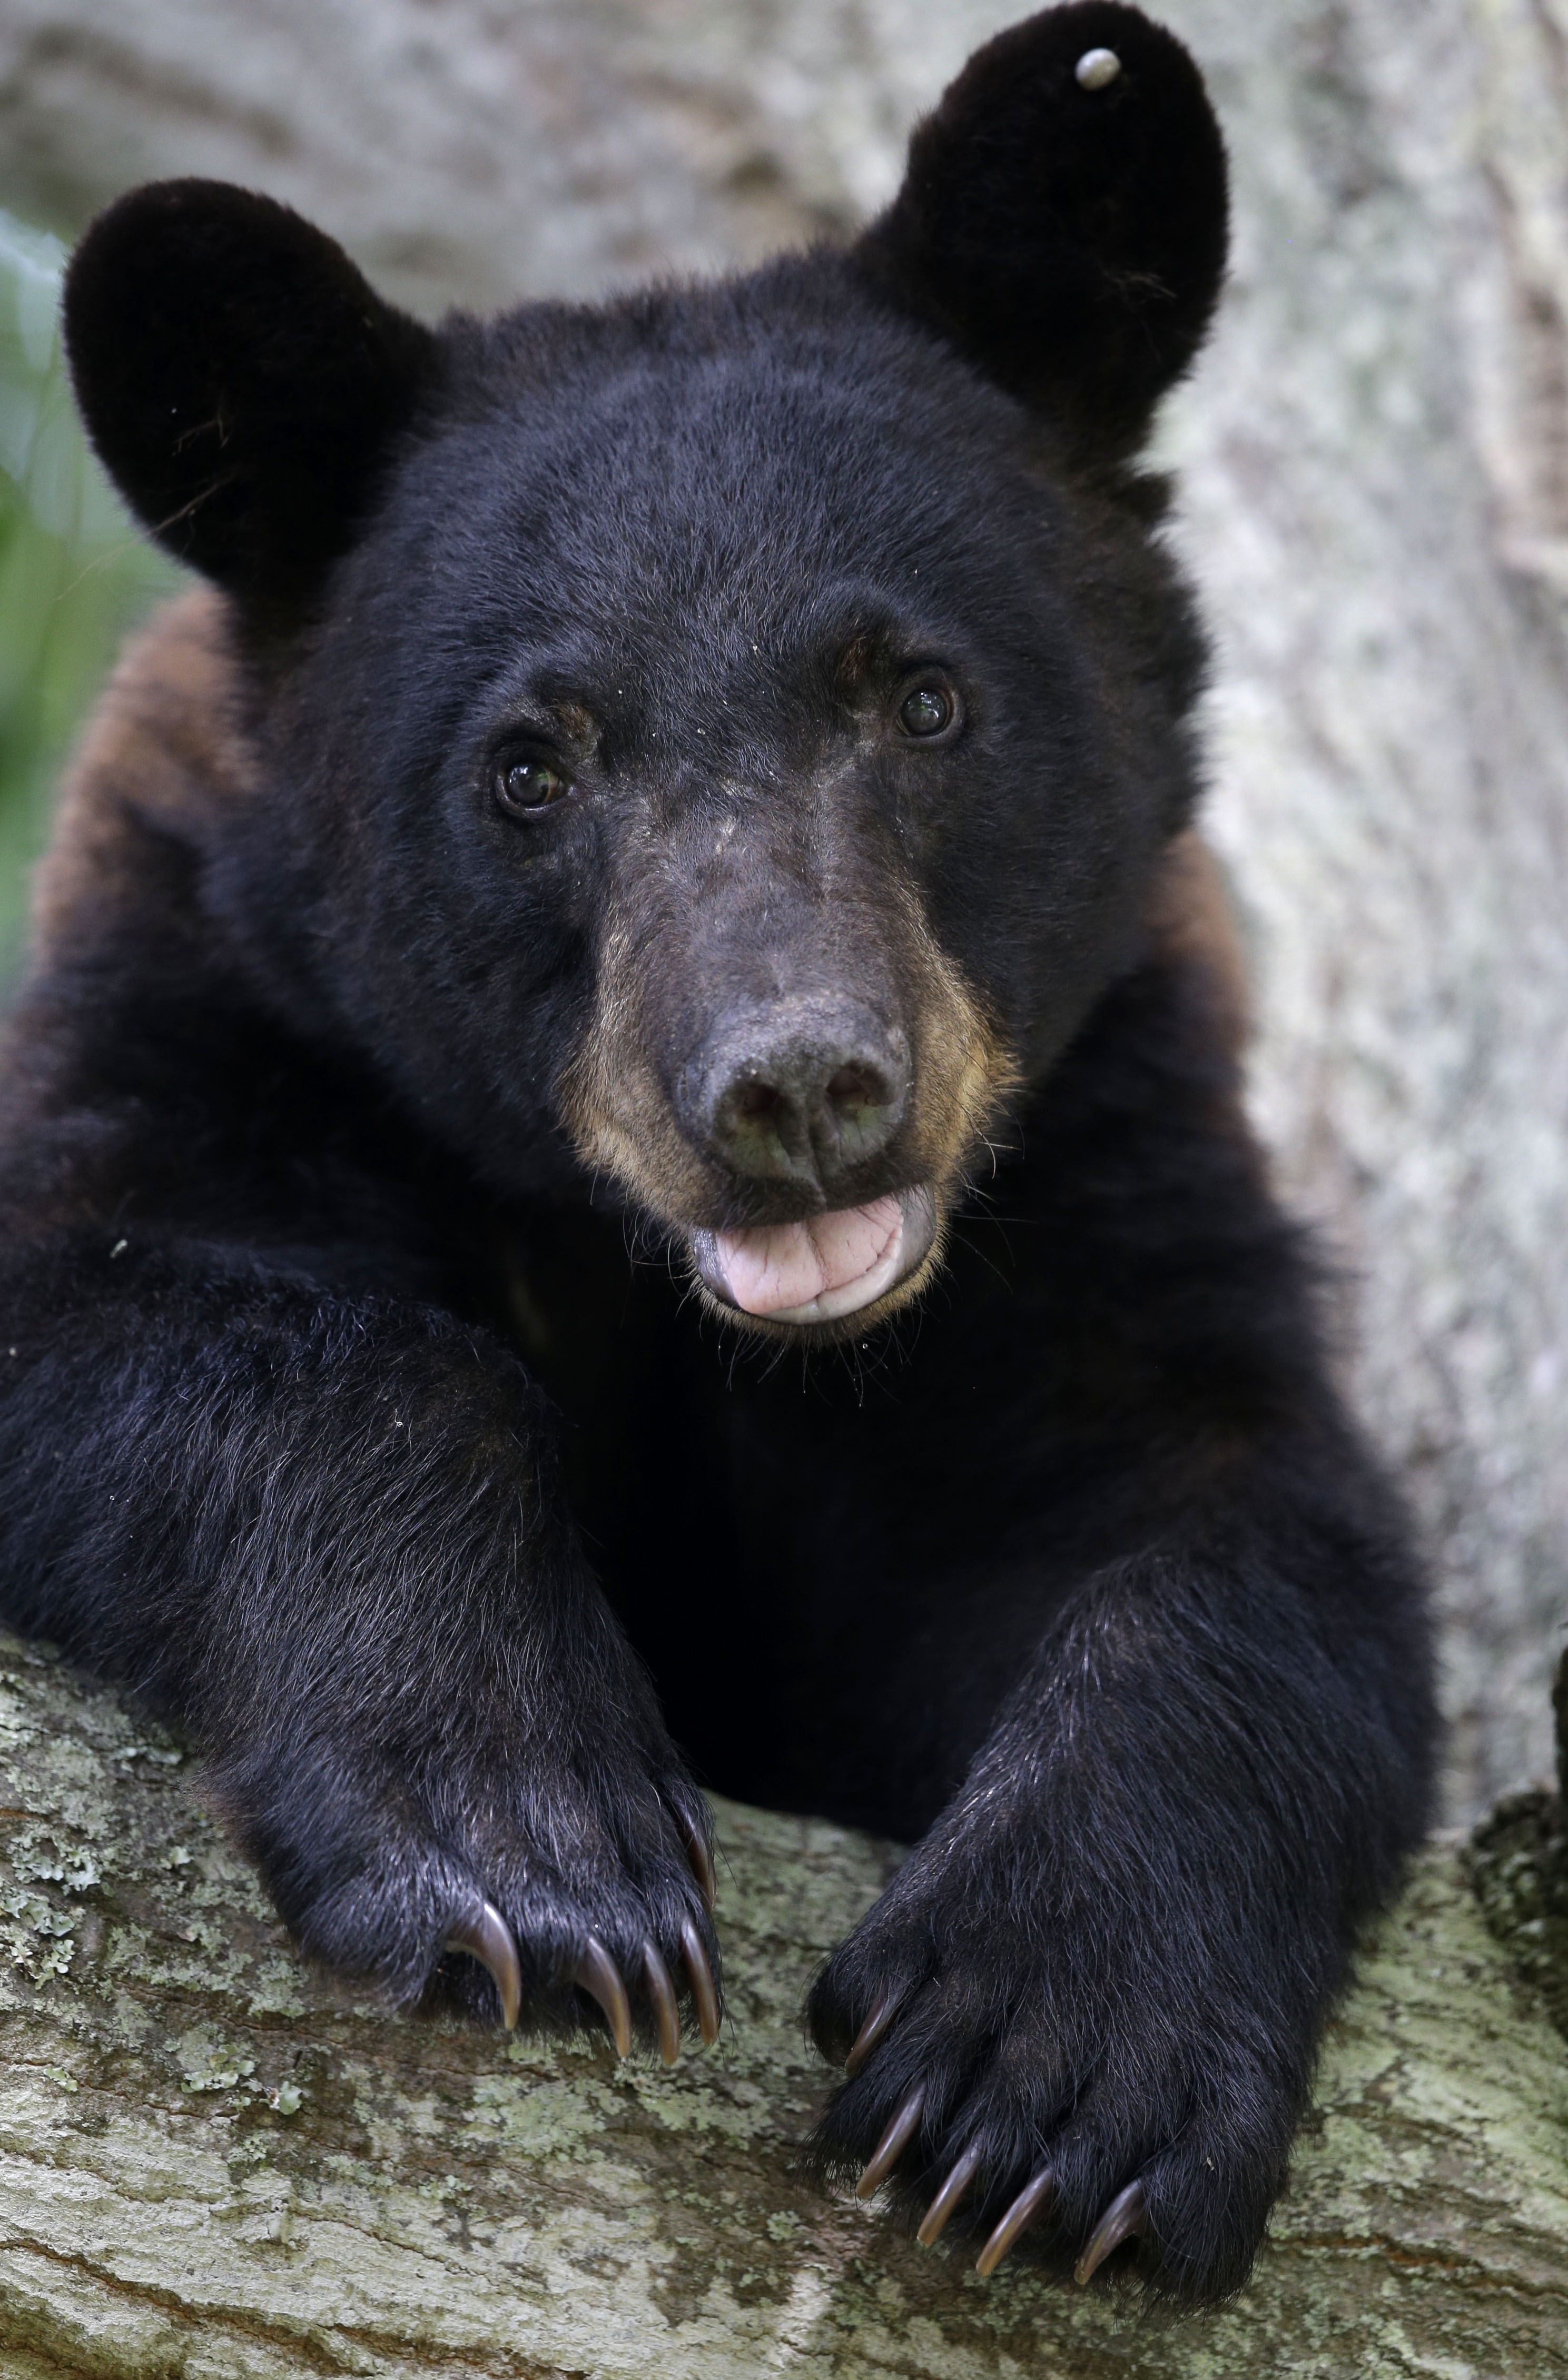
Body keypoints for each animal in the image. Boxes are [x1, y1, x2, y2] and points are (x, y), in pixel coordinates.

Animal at [0, 0, 1434, 2304]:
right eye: (529, 762)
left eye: (920, 696)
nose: (798, 1090)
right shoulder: (203, 1009)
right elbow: (188, 1313)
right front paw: (528, 1849)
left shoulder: (1107, 1160)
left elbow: (1249, 1522)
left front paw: (1048, 2066)